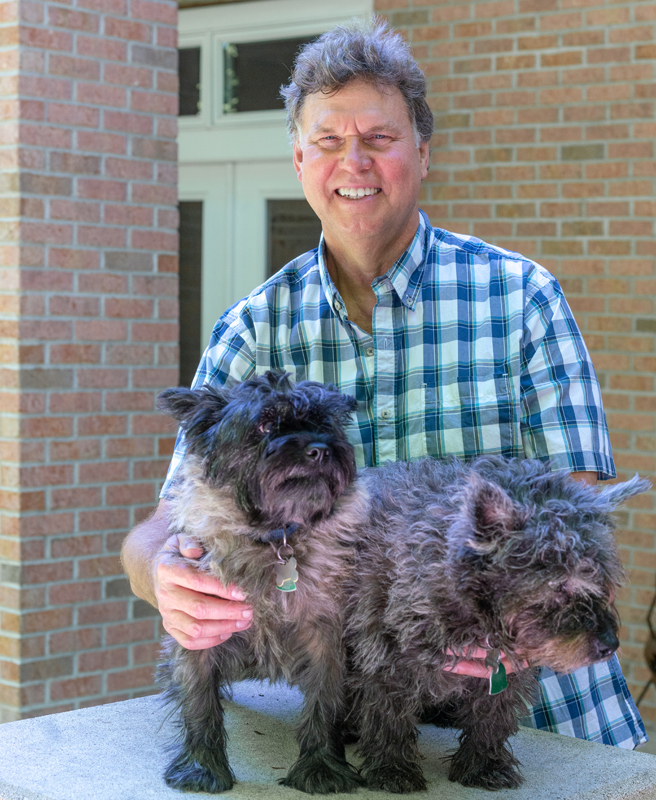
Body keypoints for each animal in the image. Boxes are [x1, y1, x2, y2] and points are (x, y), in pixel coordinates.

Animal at [156, 374, 648, 792]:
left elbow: (491, 712)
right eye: (263, 423)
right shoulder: (377, 652)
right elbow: (204, 707)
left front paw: (483, 765)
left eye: (603, 582)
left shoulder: (507, 664)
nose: (608, 645)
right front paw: (392, 771)